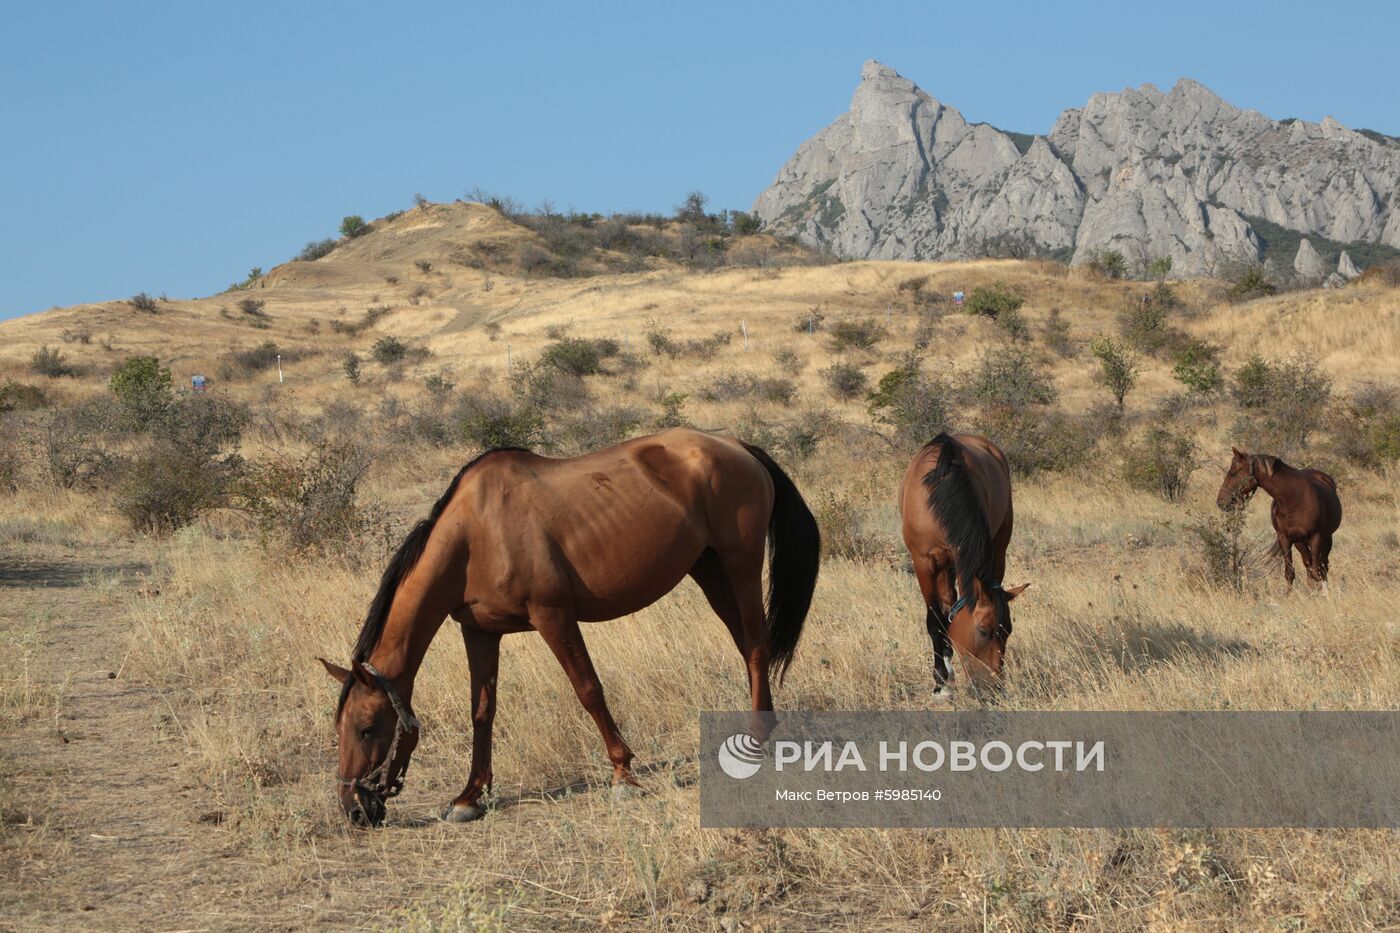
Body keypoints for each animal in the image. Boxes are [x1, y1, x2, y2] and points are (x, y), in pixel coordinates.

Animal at [317, 425, 817, 823]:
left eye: (367, 727)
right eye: (338, 729)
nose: (355, 811)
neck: (475, 535)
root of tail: (735, 445)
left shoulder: (553, 616)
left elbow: (588, 690)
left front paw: (623, 775)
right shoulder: (479, 631)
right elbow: (483, 711)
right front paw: (469, 796)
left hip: (741, 566)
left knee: (756, 645)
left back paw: (756, 738)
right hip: (709, 571)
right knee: (748, 646)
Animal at [896, 431, 1030, 686]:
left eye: (1008, 631)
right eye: (984, 630)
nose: (994, 686)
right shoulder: (923, 562)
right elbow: (935, 620)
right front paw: (940, 680)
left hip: (997, 544)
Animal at [1220, 448, 1338, 585]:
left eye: (1233, 473)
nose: (1220, 501)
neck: (1294, 498)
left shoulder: (1316, 537)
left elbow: (1317, 572)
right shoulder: (1285, 538)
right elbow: (1290, 574)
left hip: (1326, 539)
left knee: (1322, 567)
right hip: (1300, 542)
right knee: (1308, 564)